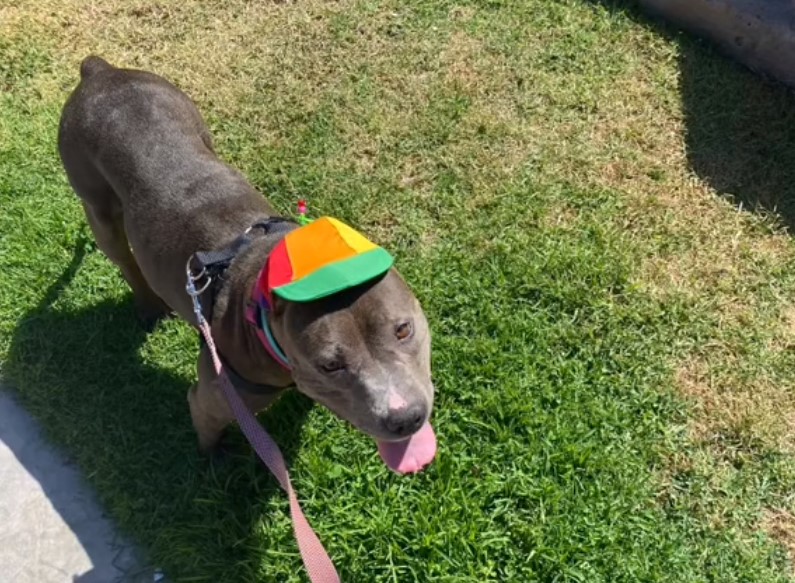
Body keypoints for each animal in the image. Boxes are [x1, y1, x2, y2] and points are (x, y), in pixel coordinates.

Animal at [59, 54, 438, 474]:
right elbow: (207, 427)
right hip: (95, 201)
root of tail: (99, 71)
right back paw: (148, 307)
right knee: (124, 258)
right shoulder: (214, 396)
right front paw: (216, 462)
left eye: (403, 330)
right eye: (330, 365)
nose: (405, 418)